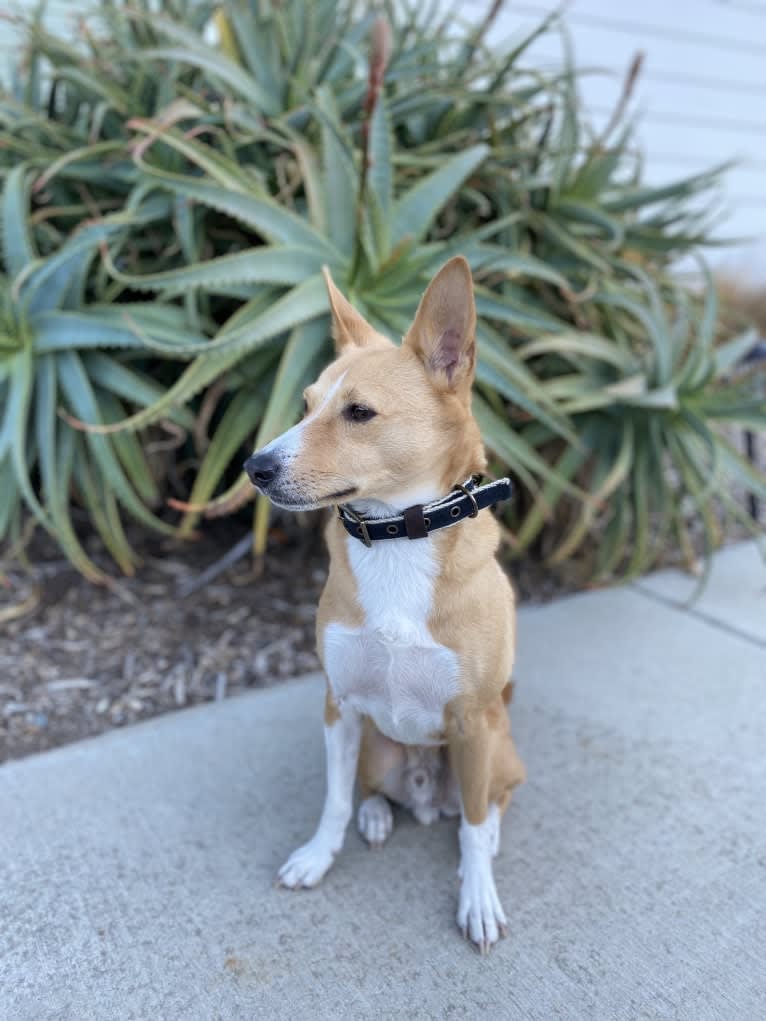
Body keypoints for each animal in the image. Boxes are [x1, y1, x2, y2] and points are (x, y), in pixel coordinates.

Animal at [246, 257, 527, 955]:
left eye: (359, 412)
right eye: (306, 406)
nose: (253, 467)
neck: (399, 536)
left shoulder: (474, 723)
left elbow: (473, 826)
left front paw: (477, 897)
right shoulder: (339, 706)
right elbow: (334, 800)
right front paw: (320, 855)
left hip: (498, 746)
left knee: (488, 805)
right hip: (376, 743)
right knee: (369, 788)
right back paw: (378, 815)